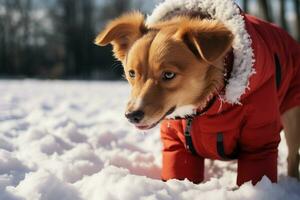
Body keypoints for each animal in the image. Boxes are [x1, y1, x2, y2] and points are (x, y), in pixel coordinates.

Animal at [95, 0, 300, 186]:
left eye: (168, 74)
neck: (200, 110)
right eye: (132, 73)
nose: (132, 115)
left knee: (292, 157)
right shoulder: (177, 144)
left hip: (292, 117)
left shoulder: (259, 139)